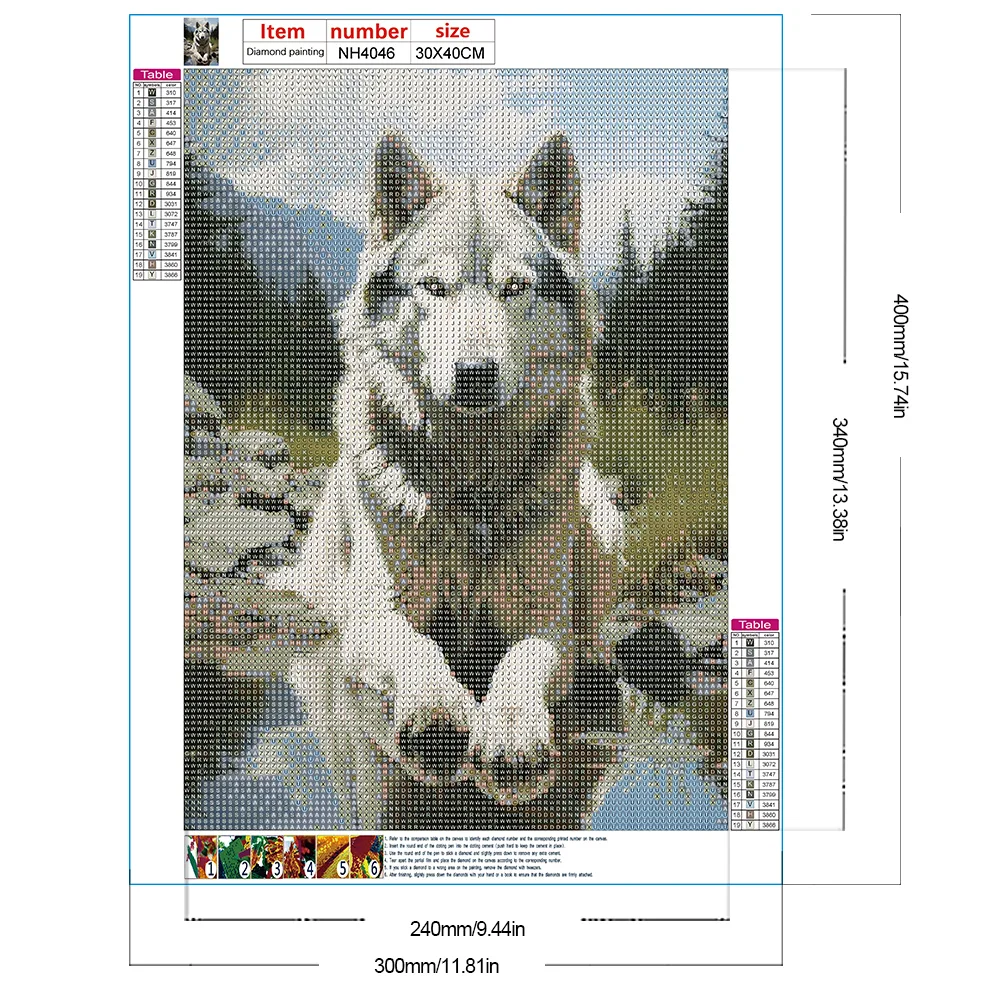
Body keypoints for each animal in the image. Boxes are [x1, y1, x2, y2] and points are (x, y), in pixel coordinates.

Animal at [270, 132, 624, 824]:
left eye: (514, 288)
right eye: (433, 287)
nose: (476, 374)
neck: (468, 484)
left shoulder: (545, 619)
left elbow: (524, 661)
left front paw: (510, 723)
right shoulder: (378, 615)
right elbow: (421, 650)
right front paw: (440, 705)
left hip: (599, 511)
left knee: (596, 622)